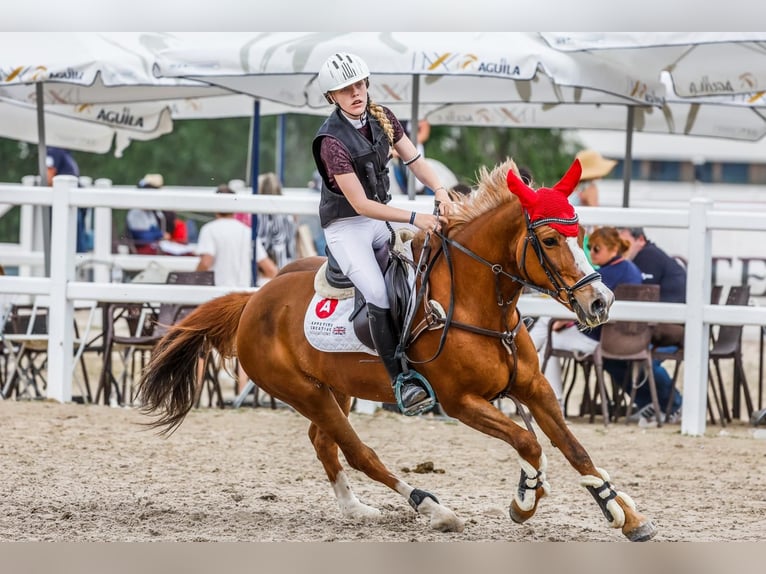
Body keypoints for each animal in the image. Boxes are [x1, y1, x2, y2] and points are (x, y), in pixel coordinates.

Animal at [136, 159, 660, 544]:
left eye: (581, 233)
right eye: (550, 239)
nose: (600, 302)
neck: (477, 303)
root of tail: (253, 301)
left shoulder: (533, 387)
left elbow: (576, 449)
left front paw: (623, 513)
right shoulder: (461, 403)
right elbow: (529, 443)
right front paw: (525, 500)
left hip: (334, 391)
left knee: (324, 442)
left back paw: (356, 509)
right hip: (302, 391)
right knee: (358, 451)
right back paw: (432, 508)